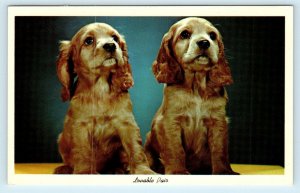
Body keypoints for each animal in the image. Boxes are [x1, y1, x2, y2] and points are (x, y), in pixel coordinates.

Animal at [54, 23, 155, 175]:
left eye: (115, 38)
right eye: (89, 41)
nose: (111, 45)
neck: (100, 89)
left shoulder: (127, 123)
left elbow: (135, 149)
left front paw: (143, 171)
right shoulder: (80, 126)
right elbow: (83, 151)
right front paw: (84, 172)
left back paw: (120, 168)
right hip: (61, 139)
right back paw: (63, 169)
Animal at [144, 17, 238, 175]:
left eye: (212, 35)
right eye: (185, 34)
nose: (204, 42)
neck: (196, 87)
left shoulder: (218, 121)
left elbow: (219, 150)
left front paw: (224, 172)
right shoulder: (170, 121)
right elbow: (175, 149)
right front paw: (178, 171)